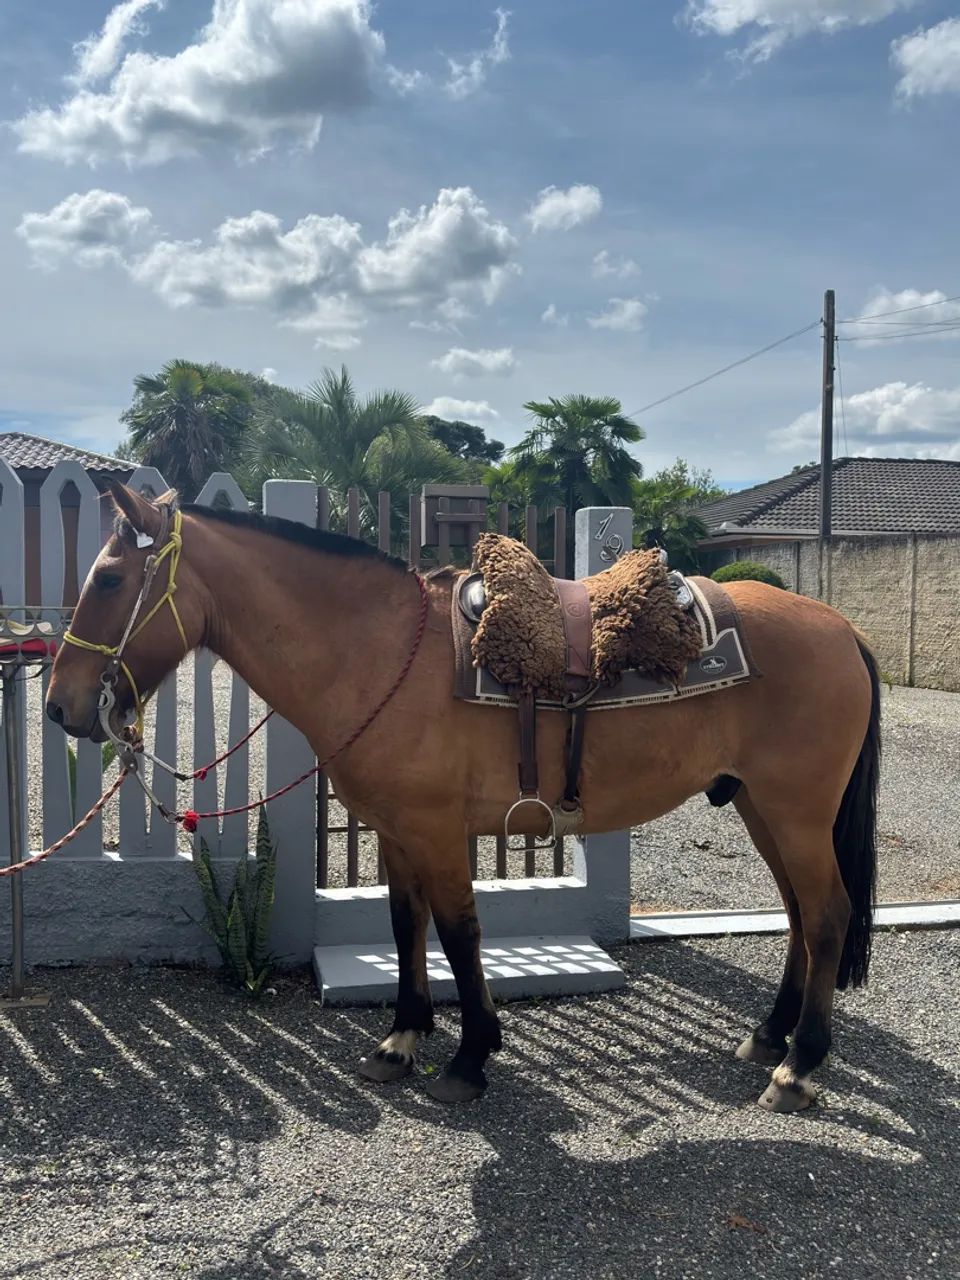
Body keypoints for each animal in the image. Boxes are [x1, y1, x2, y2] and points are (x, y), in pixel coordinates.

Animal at [46, 482, 880, 1113]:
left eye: (110, 580)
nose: (60, 706)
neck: (381, 652)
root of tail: (841, 629)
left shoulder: (439, 832)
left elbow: (458, 934)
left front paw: (470, 1057)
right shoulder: (395, 831)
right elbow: (405, 926)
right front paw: (401, 1038)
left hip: (797, 812)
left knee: (827, 915)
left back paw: (800, 1065)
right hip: (761, 807)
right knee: (801, 916)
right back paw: (769, 1036)